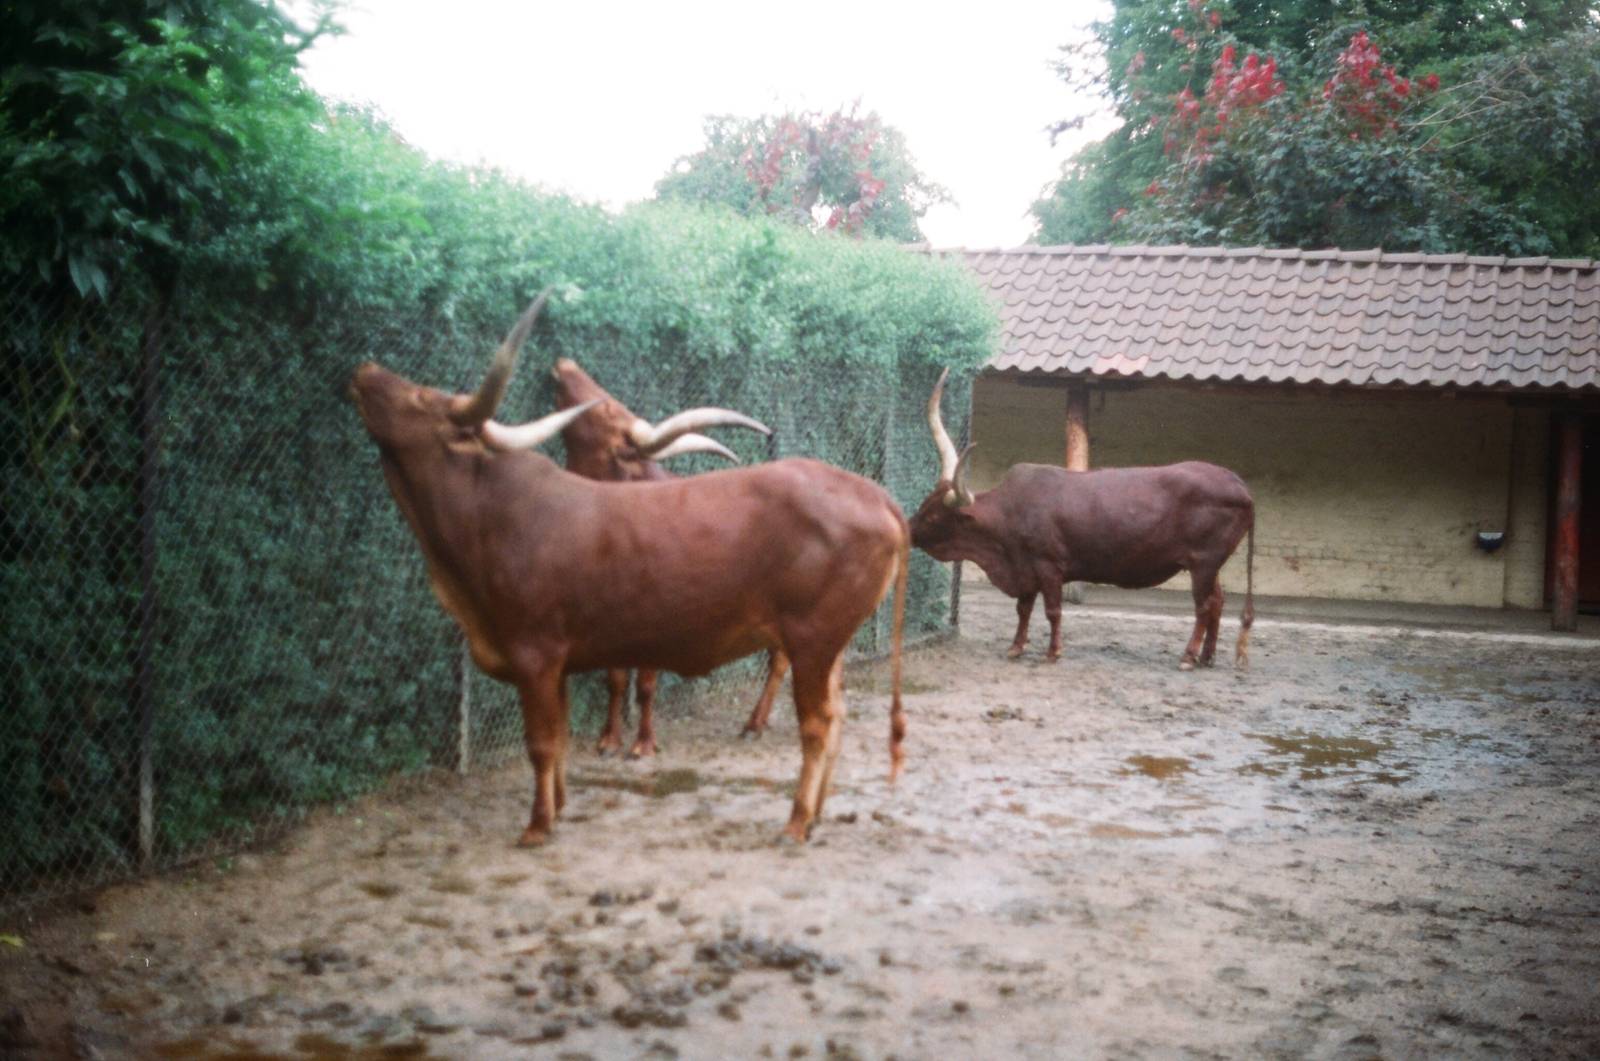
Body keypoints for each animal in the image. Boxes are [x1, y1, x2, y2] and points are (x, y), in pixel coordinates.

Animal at [551, 359, 793, 758]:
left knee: (781, 662)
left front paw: (644, 743)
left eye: (608, 409)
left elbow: (646, 682)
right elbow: (615, 679)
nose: (564, 364)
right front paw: (609, 740)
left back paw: (754, 724)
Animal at [909, 370, 1255, 670]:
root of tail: (1236, 483)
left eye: (933, 514)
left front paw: (1053, 652)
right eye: (925, 504)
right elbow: (1023, 608)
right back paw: (1208, 656)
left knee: (1204, 606)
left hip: (1204, 562)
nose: (907, 529)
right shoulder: (1025, 567)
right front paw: (1016, 647)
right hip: (1208, 564)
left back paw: (1188, 656)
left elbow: (1052, 611)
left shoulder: (1048, 565)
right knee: (1218, 601)